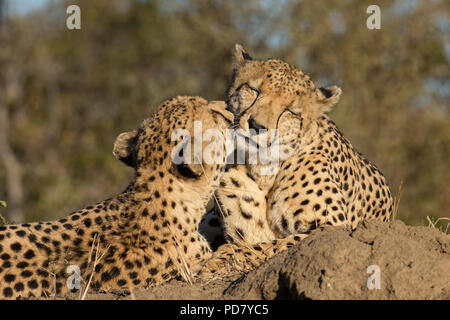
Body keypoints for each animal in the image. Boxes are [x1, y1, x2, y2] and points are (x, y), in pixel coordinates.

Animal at [197, 43, 394, 276]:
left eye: (289, 111)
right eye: (254, 90)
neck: (263, 169)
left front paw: (223, 258)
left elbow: (277, 244)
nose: (257, 126)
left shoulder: (333, 227)